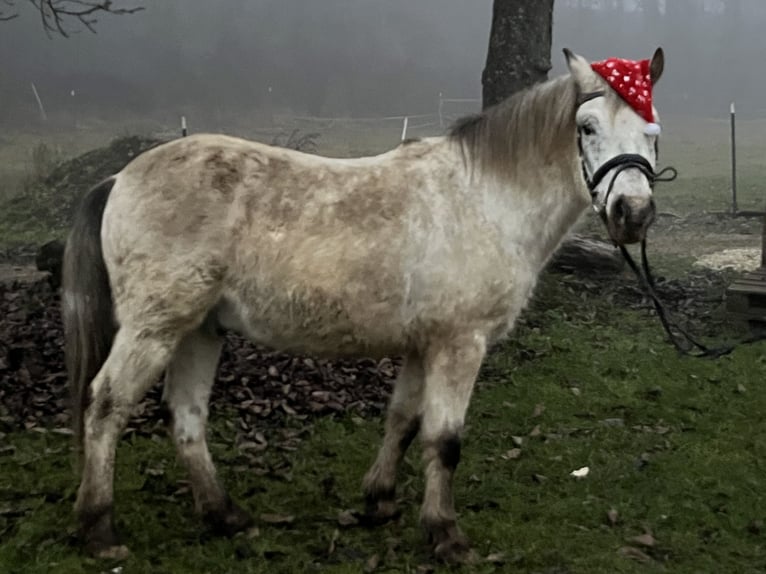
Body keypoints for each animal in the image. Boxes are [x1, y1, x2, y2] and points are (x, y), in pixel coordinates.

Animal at [62, 47, 666, 563]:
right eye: (587, 128)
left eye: (652, 132)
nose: (632, 213)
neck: (484, 199)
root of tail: (119, 177)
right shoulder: (460, 343)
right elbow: (444, 439)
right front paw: (445, 534)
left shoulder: (424, 344)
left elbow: (402, 420)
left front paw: (380, 500)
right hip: (154, 328)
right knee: (106, 405)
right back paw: (98, 528)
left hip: (199, 330)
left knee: (186, 415)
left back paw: (223, 515)